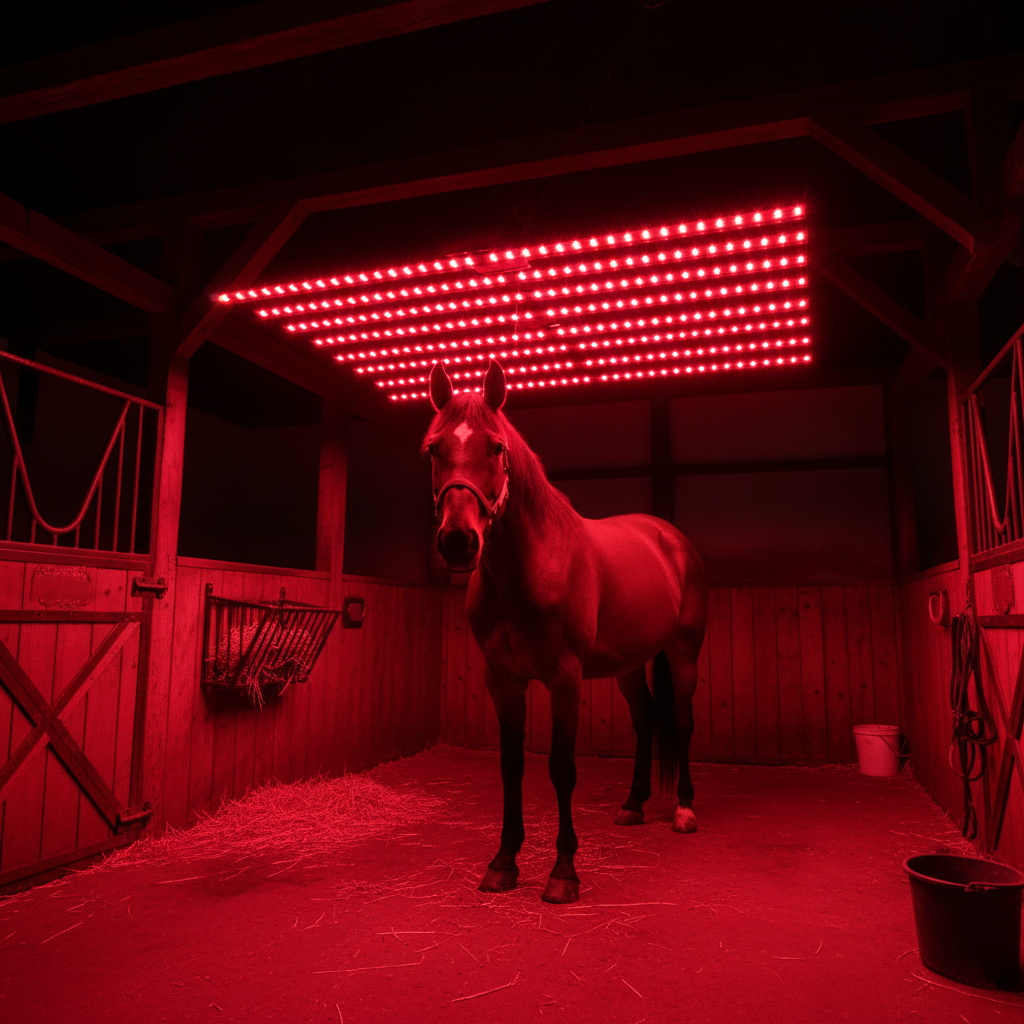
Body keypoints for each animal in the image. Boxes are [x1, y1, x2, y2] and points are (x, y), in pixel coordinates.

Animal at [424, 359, 708, 904]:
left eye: (497, 447)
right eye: (433, 448)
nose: (458, 542)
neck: (533, 564)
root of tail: (670, 537)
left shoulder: (564, 679)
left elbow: (561, 769)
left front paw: (563, 871)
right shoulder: (503, 680)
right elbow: (511, 766)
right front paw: (503, 862)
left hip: (683, 653)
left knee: (681, 722)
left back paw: (684, 811)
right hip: (629, 664)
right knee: (646, 719)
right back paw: (634, 805)